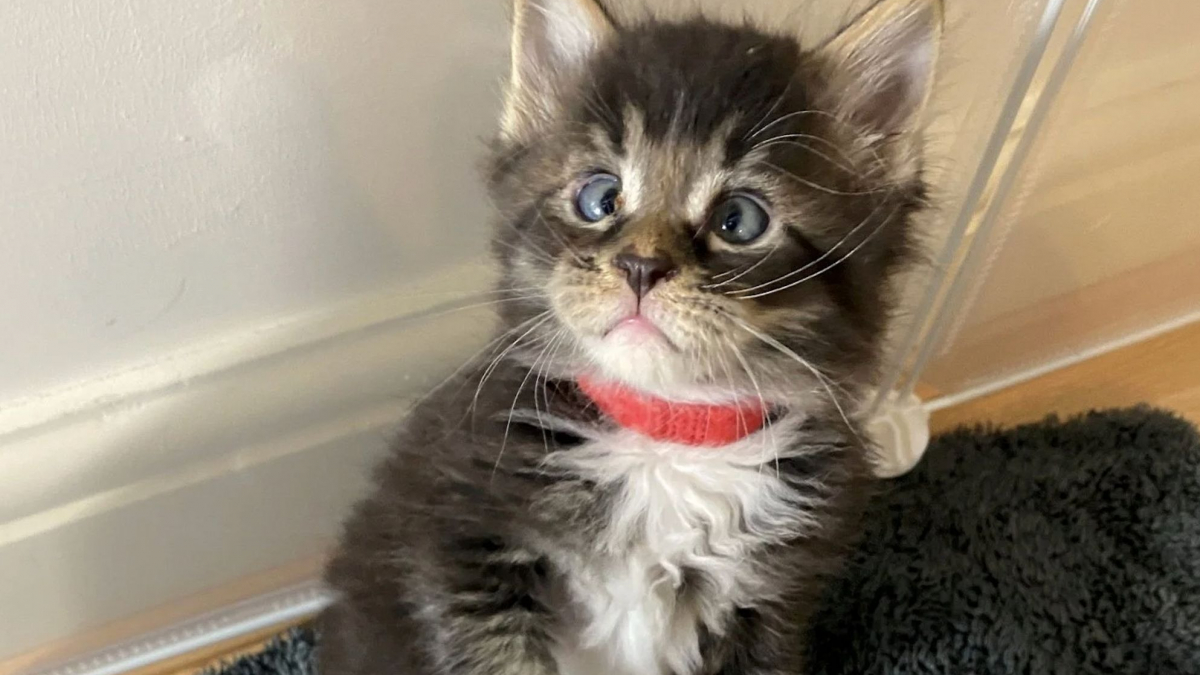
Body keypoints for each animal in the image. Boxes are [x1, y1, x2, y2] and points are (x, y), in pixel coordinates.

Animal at [324, 0, 940, 667]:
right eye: (599, 198)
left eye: (740, 220)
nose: (641, 265)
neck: (667, 436)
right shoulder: (461, 537)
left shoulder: (772, 603)